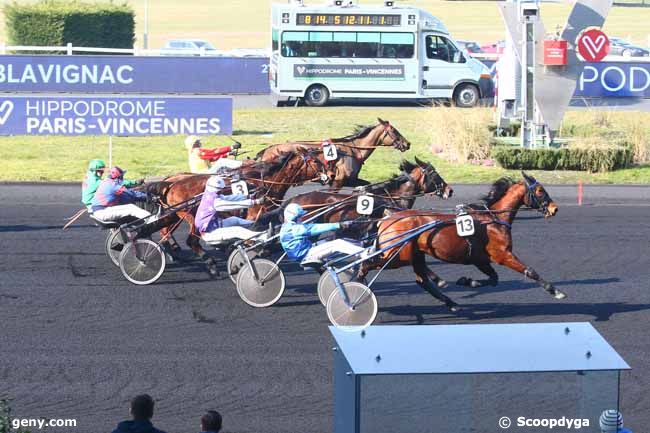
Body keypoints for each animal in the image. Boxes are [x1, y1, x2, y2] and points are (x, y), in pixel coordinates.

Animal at [256, 118, 408, 187]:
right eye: (394, 131)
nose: (407, 143)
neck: (353, 150)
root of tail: (267, 150)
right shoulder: (339, 180)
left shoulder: (352, 180)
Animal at [362, 172, 564, 310]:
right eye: (540, 190)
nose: (554, 209)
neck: (492, 219)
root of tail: (388, 217)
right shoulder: (502, 255)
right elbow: (529, 271)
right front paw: (555, 291)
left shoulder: (480, 259)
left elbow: (493, 279)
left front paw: (467, 281)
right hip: (397, 256)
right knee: (366, 264)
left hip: (415, 254)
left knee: (422, 280)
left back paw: (451, 303)